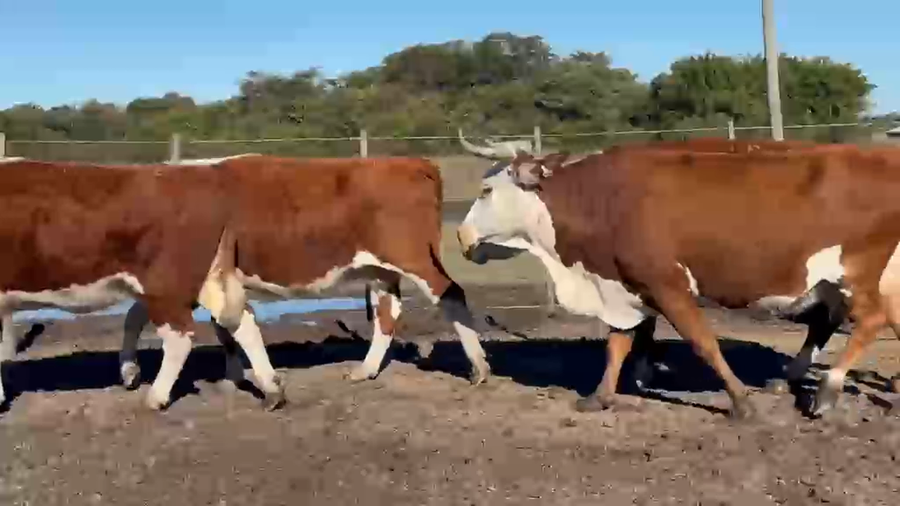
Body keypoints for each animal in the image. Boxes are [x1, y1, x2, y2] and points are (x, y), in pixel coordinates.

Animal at [0, 157, 285, 411]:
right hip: (204, 279)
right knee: (241, 321)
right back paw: (272, 391)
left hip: (165, 285)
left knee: (180, 336)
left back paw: (156, 397)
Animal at [455, 138, 900, 419]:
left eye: (486, 189)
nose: (461, 236)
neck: (603, 201)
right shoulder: (624, 287)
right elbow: (617, 345)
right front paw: (600, 396)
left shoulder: (667, 286)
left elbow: (703, 342)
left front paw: (740, 401)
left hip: (858, 274)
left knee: (871, 321)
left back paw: (827, 391)